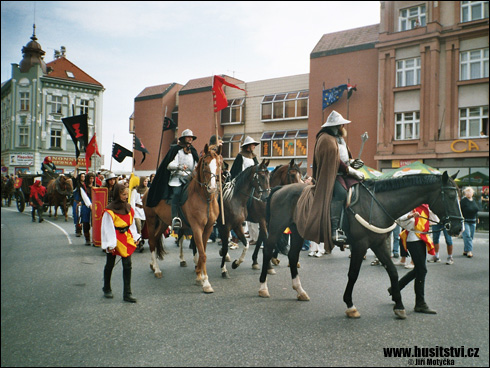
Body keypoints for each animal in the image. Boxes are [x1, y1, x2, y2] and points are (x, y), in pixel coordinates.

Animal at [143, 144, 221, 294]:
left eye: (219, 164)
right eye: (206, 164)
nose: (213, 187)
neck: (205, 198)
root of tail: (147, 191)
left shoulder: (208, 228)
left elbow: (202, 252)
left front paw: (199, 276)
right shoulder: (197, 228)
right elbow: (202, 254)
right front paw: (206, 283)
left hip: (163, 222)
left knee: (155, 239)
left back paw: (152, 265)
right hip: (151, 220)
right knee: (151, 241)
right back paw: (157, 270)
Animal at [260, 172, 464, 320]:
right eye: (451, 195)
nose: (458, 227)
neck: (379, 204)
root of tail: (280, 188)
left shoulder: (378, 244)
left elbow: (392, 271)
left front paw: (398, 305)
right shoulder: (360, 245)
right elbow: (353, 274)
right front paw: (350, 305)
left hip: (298, 232)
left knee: (293, 256)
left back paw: (300, 291)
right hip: (277, 227)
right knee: (268, 250)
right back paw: (263, 287)